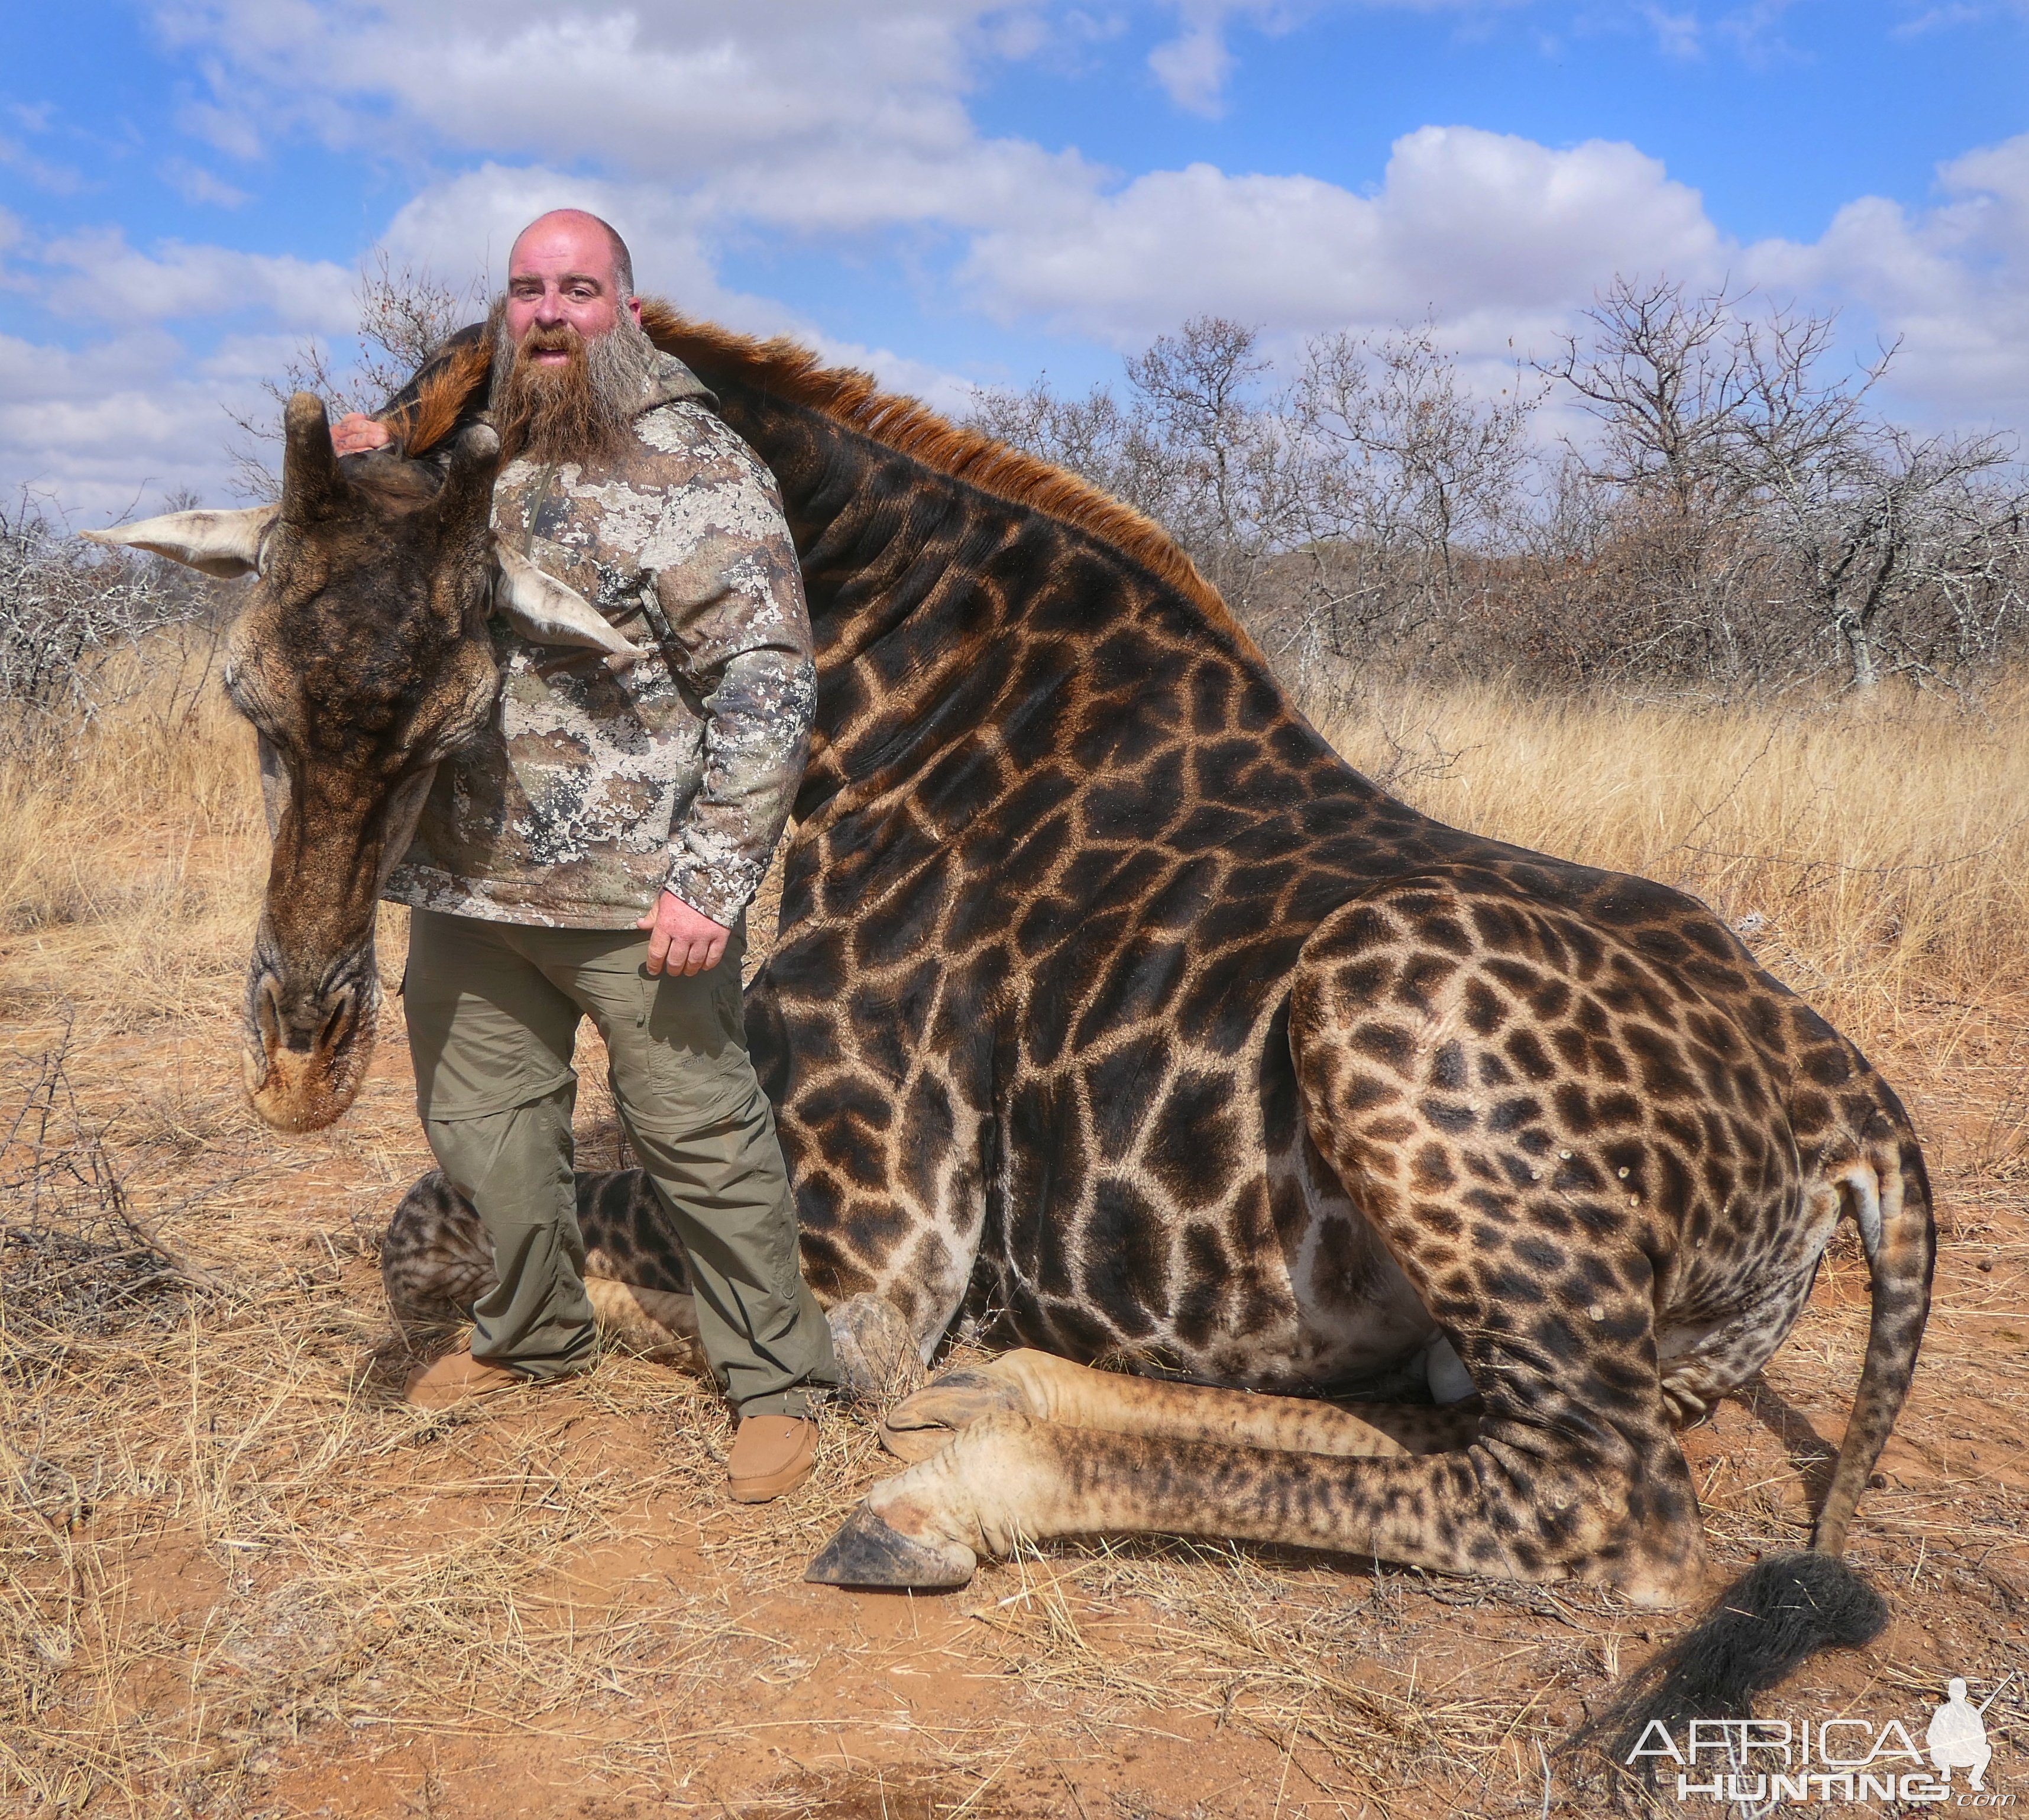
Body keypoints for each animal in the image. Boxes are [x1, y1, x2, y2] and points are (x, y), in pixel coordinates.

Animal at [99, 302, 1931, 1704]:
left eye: (456, 710)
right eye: (246, 695)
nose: (301, 1051)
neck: (866, 676)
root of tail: (1852, 1110)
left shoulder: (874, 1248)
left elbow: (473, 1230)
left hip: (1390, 1016)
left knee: (1605, 1507)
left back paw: (952, 1487)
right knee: (1439, 1416)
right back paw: (1005, 1391)